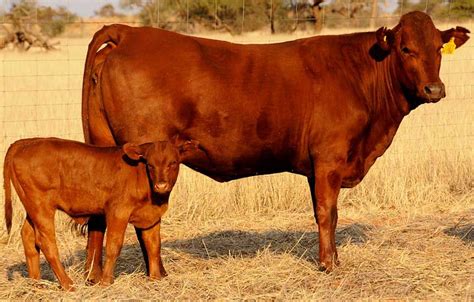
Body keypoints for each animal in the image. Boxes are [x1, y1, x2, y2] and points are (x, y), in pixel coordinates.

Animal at [3, 137, 198, 290]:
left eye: (173, 163)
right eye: (150, 164)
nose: (161, 185)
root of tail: (23, 143)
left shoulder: (151, 217)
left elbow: (153, 246)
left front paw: (155, 278)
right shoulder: (118, 212)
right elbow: (113, 246)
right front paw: (105, 281)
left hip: (33, 208)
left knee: (28, 237)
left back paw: (36, 284)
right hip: (41, 207)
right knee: (46, 242)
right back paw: (67, 284)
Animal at [80, 10, 466, 282]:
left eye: (437, 48)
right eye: (406, 48)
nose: (434, 89)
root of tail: (129, 32)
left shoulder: (317, 167)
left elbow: (330, 214)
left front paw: (335, 259)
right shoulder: (329, 159)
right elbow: (326, 213)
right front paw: (328, 265)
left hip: (105, 147)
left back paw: (94, 275)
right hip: (147, 155)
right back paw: (158, 274)